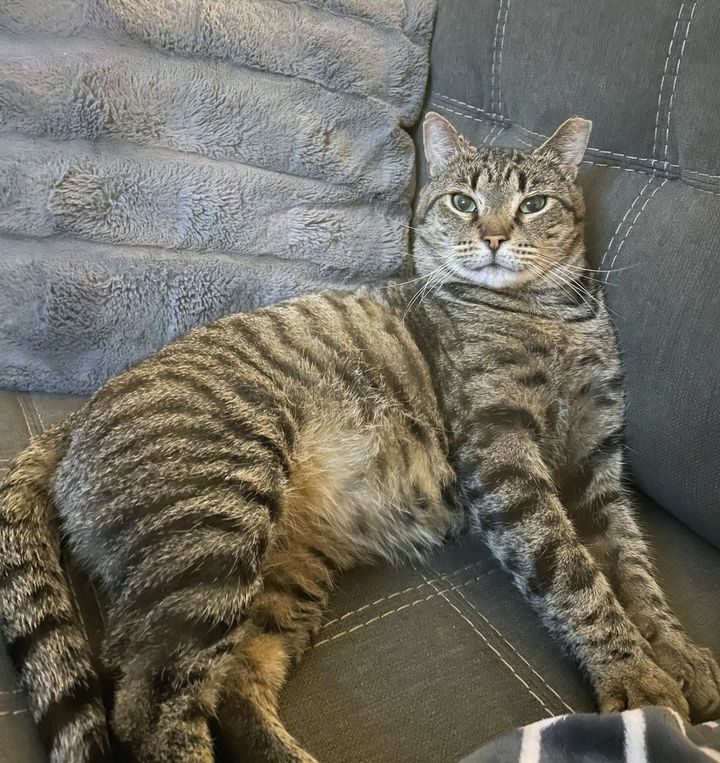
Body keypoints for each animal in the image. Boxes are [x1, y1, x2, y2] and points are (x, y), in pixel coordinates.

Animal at [1, 115, 720, 763]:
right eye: (463, 201)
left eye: (533, 203)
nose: (492, 236)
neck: (550, 315)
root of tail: (76, 418)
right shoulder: (503, 455)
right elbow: (574, 575)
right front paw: (636, 677)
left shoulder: (599, 465)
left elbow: (632, 567)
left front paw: (678, 653)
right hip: (216, 518)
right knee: (146, 702)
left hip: (279, 571)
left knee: (232, 684)